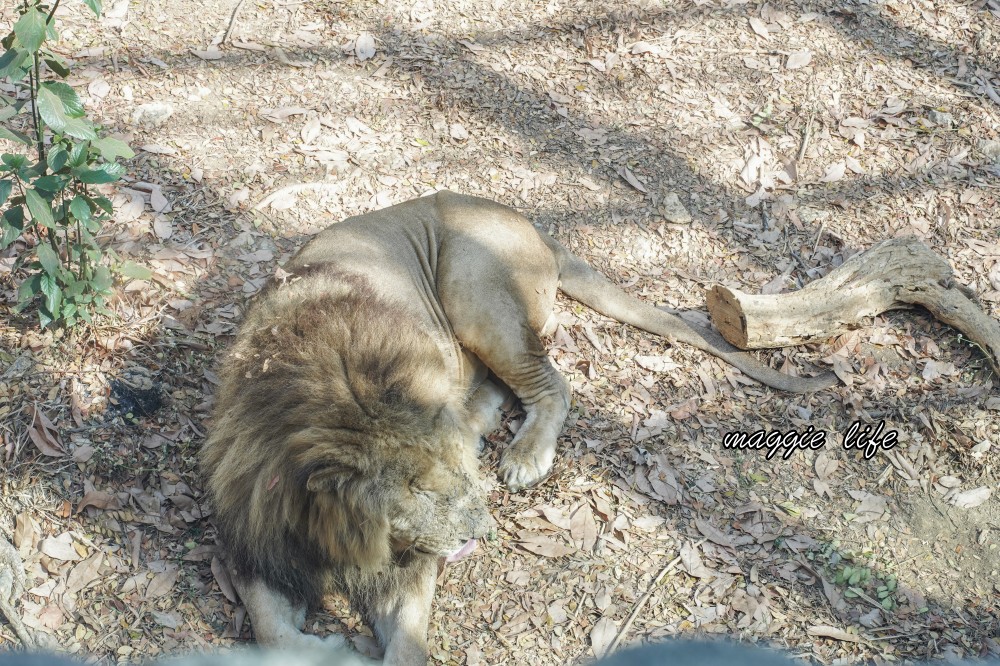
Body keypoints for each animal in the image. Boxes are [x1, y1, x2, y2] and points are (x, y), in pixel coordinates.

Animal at [199, 189, 832, 660]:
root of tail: (534, 225)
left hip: (472, 289)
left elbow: (406, 646)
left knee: (553, 383)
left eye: (457, 479)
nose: (480, 532)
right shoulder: (255, 539)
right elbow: (271, 631)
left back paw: (526, 456)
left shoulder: (411, 566)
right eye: (419, 491)